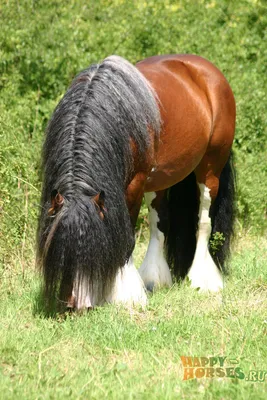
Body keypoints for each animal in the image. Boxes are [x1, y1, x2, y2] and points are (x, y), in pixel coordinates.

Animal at [37, 53, 237, 310]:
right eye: (60, 251)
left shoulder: (133, 186)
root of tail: (206, 69)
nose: (76, 304)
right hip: (160, 179)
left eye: (93, 250)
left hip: (210, 169)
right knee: (159, 223)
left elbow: (128, 235)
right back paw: (154, 279)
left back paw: (202, 280)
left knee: (204, 221)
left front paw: (126, 295)